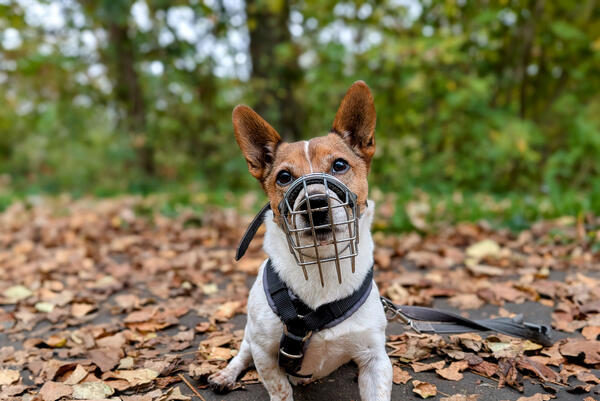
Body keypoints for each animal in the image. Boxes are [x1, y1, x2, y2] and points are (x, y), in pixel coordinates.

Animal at [209, 81, 392, 400]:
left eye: (340, 165)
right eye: (284, 176)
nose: (314, 204)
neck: (322, 267)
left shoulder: (375, 359)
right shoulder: (265, 353)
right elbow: (279, 387)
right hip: (249, 337)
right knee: (241, 354)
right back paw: (226, 375)